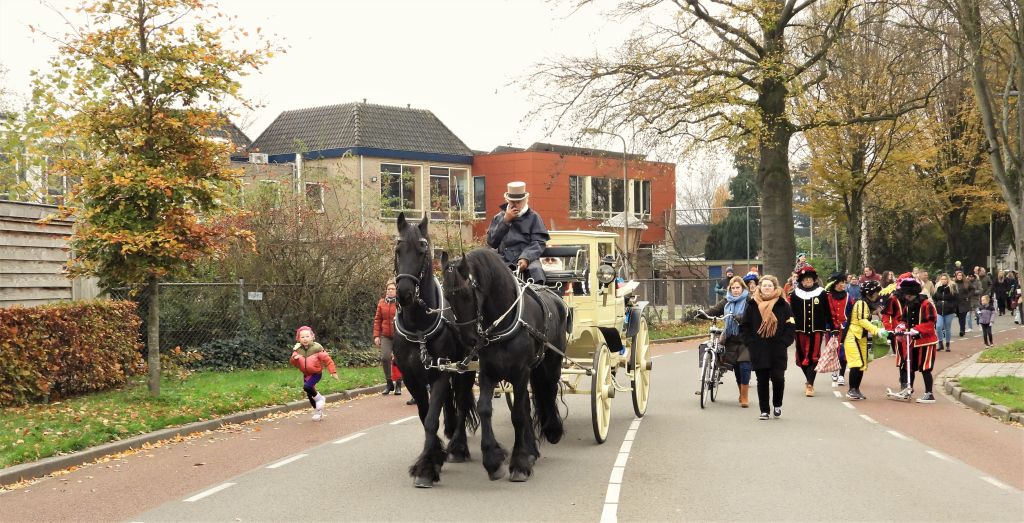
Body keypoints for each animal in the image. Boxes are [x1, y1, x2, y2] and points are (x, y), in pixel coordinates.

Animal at [391, 210, 479, 489]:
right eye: (398, 249)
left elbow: (431, 419)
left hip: (465, 368)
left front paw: (426, 468)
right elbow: (424, 414)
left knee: (462, 402)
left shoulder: (440, 372)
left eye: (422, 250)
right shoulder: (411, 376)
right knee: (452, 404)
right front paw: (433, 455)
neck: (419, 326)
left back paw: (458, 447)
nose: (404, 293)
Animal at [440, 247, 569, 481]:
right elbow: (485, 408)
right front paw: (493, 460)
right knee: (529, 403)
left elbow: (517, 415)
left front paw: (519, 464)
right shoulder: (487, 373)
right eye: (446, 296)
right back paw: (531, 450)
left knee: (550, 390)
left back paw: (552, 430)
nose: (468, 340)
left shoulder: (520, 373)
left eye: (466, 294)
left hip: (551, 363)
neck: (502, 324)